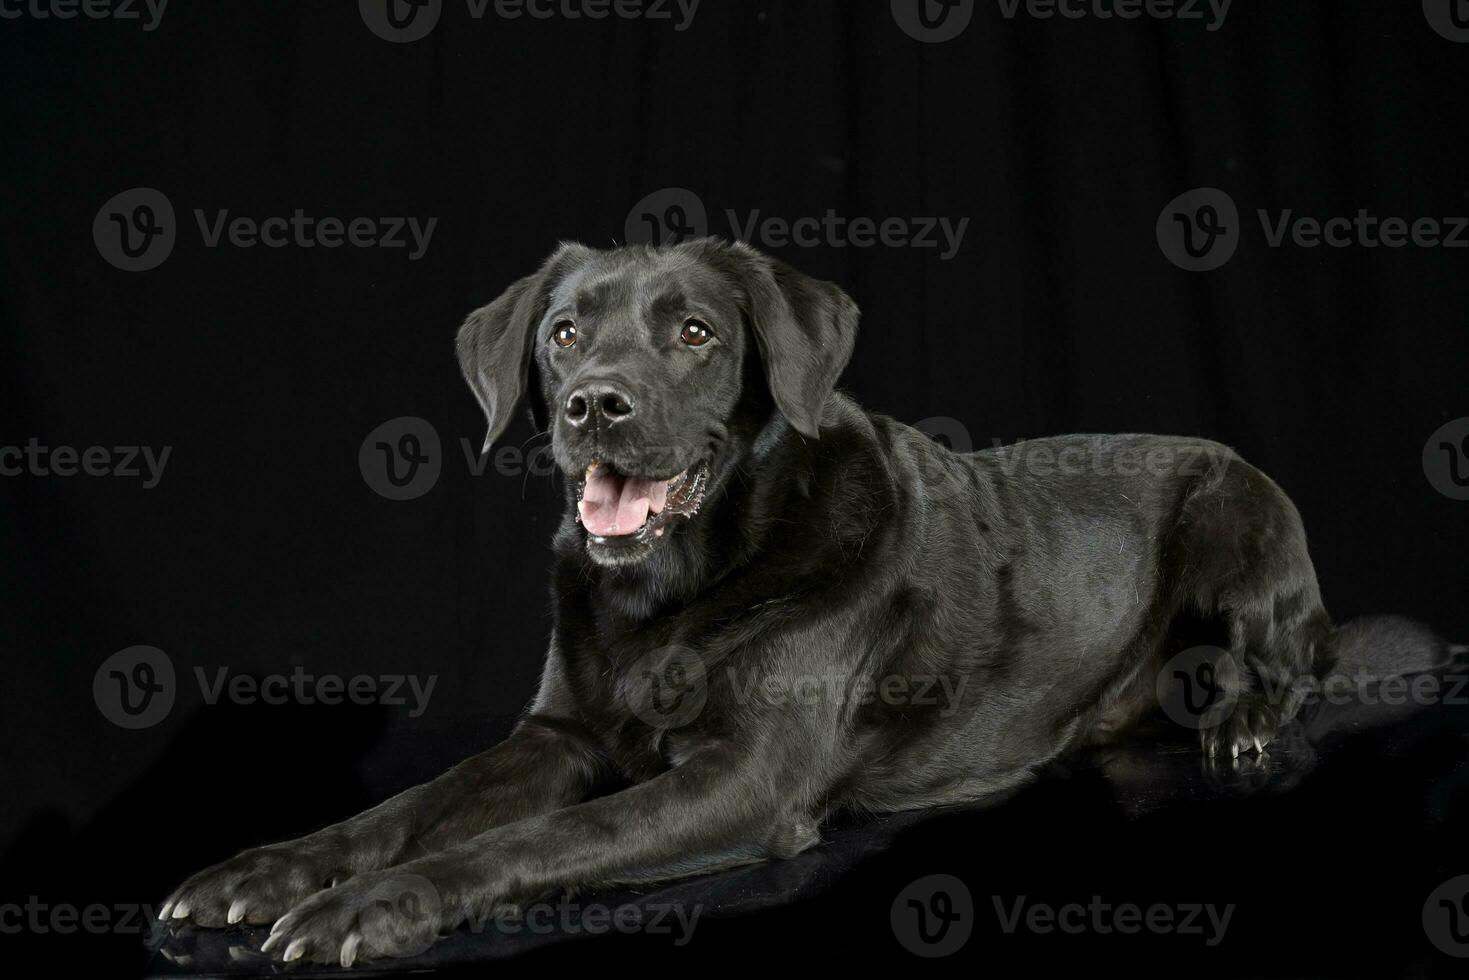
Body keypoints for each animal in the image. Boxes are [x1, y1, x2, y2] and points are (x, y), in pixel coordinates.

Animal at [157, 239, 1445, 963]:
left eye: (693, 332)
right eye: (564, 332)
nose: (594, 404)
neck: (670, 592)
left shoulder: (745, 778)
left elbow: (544, 836)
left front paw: (377, 904)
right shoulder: (556, 733)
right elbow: (408, 804)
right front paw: (264, 871)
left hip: (1239, 511)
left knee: (1290, 659)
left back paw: (1243, 718)